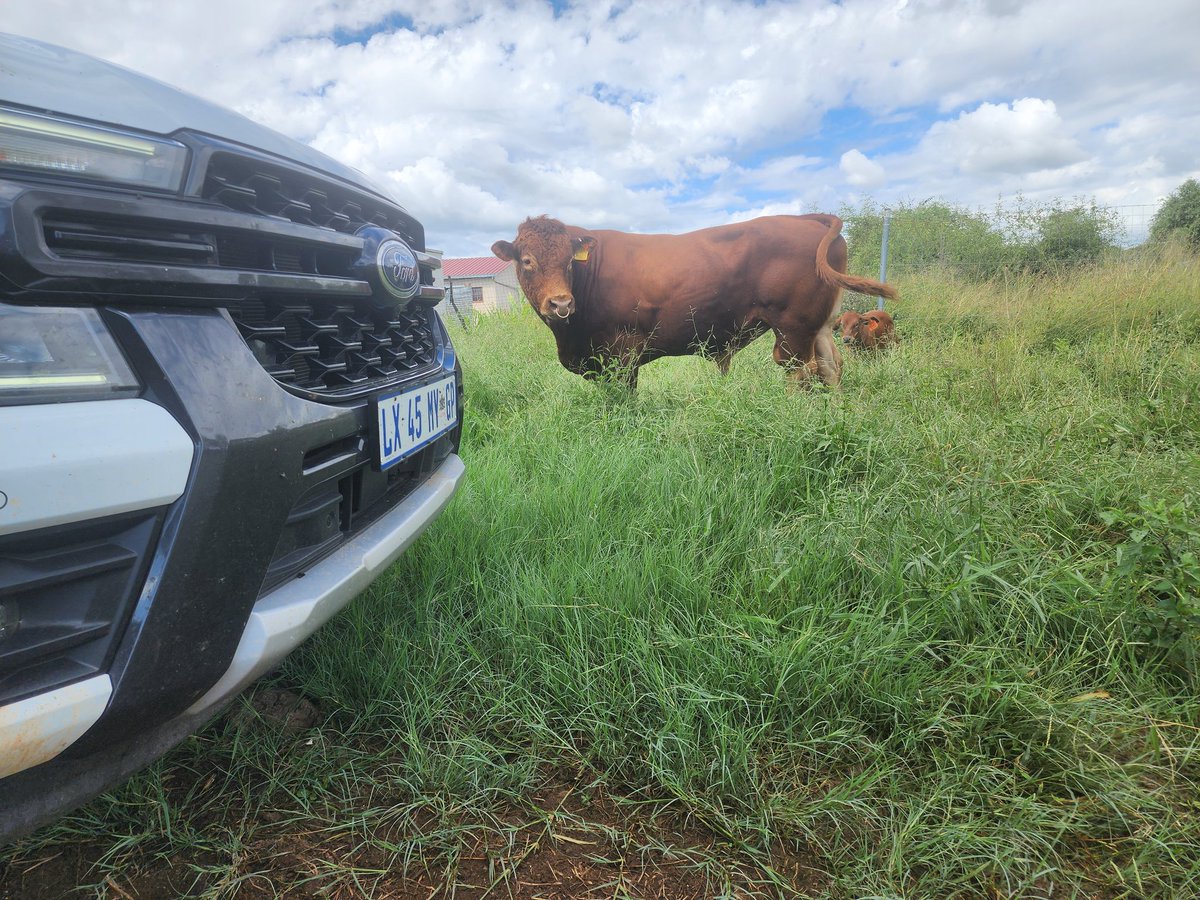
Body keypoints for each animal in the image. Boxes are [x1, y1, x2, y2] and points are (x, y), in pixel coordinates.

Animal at [491, 214, 898, 389]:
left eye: (567, 262)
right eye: (526, 261)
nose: (560, 303)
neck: (570, 338)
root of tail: (807, 218)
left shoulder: (621, 355)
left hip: (792, 329)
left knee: (801, 371)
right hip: (821, 325)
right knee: (831, 365)